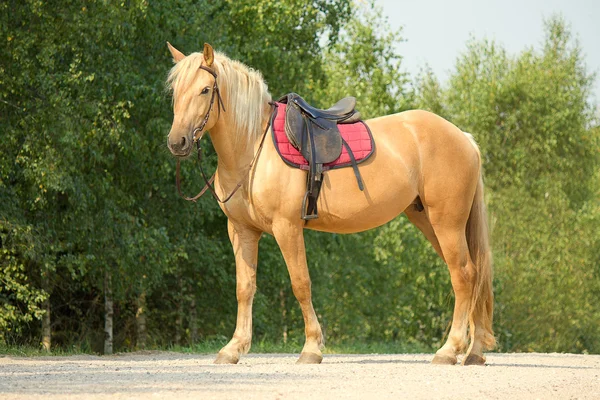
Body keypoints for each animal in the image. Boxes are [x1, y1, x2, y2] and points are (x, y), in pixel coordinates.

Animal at [165, 43, 496, 366]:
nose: (177, 142)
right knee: (473, 276)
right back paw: (474, 352)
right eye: (175, 90)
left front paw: (311, 348)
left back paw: (449, 350)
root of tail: (463, 137)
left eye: (205, 89)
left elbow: (301, 283)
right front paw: (233, 348)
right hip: (430, 222)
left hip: (447, 223)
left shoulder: (287, 228)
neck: (253, 146)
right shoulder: (242, 231)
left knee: (464, 275)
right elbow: (244, 288)